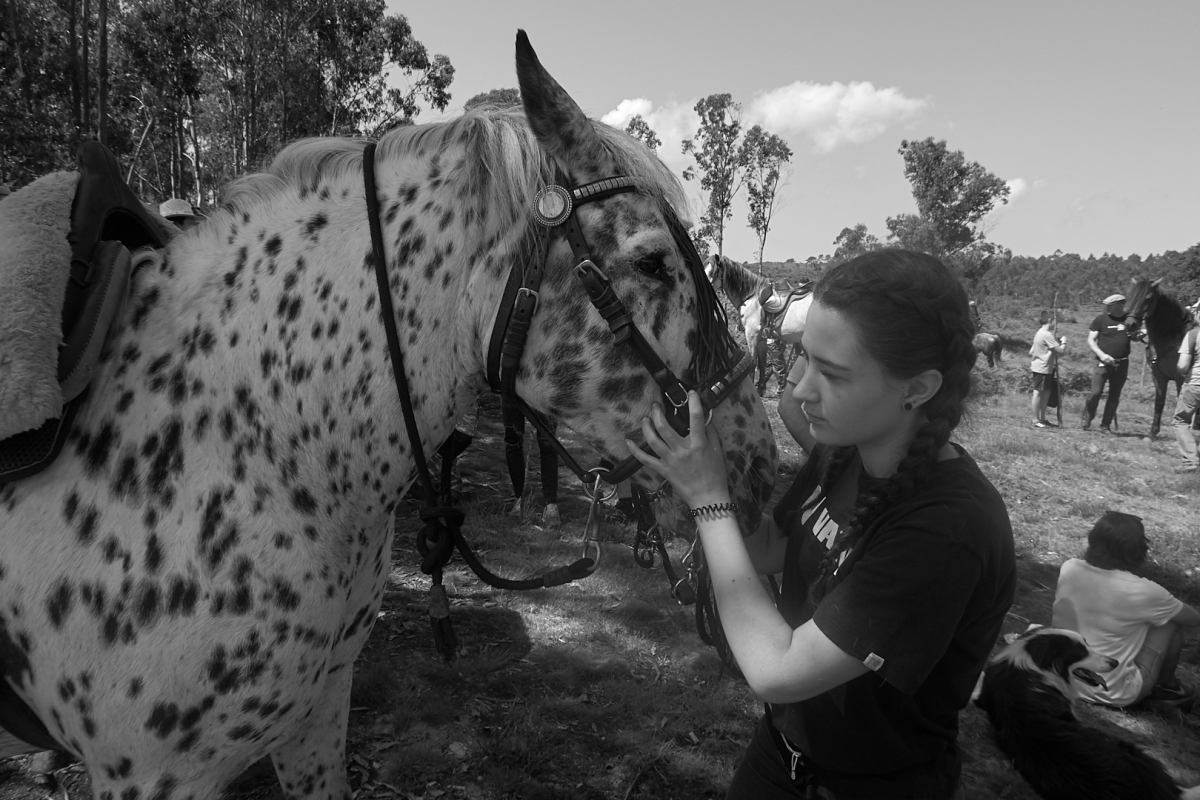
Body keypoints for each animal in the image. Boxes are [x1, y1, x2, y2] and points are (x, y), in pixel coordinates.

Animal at [1123, 275, 1190, 438]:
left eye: (1148, 298)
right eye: (1130, 295)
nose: (1130, 324)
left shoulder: (1180, 378)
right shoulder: (1159, 376)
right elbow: (1159, 402)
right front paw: (1153, 432)